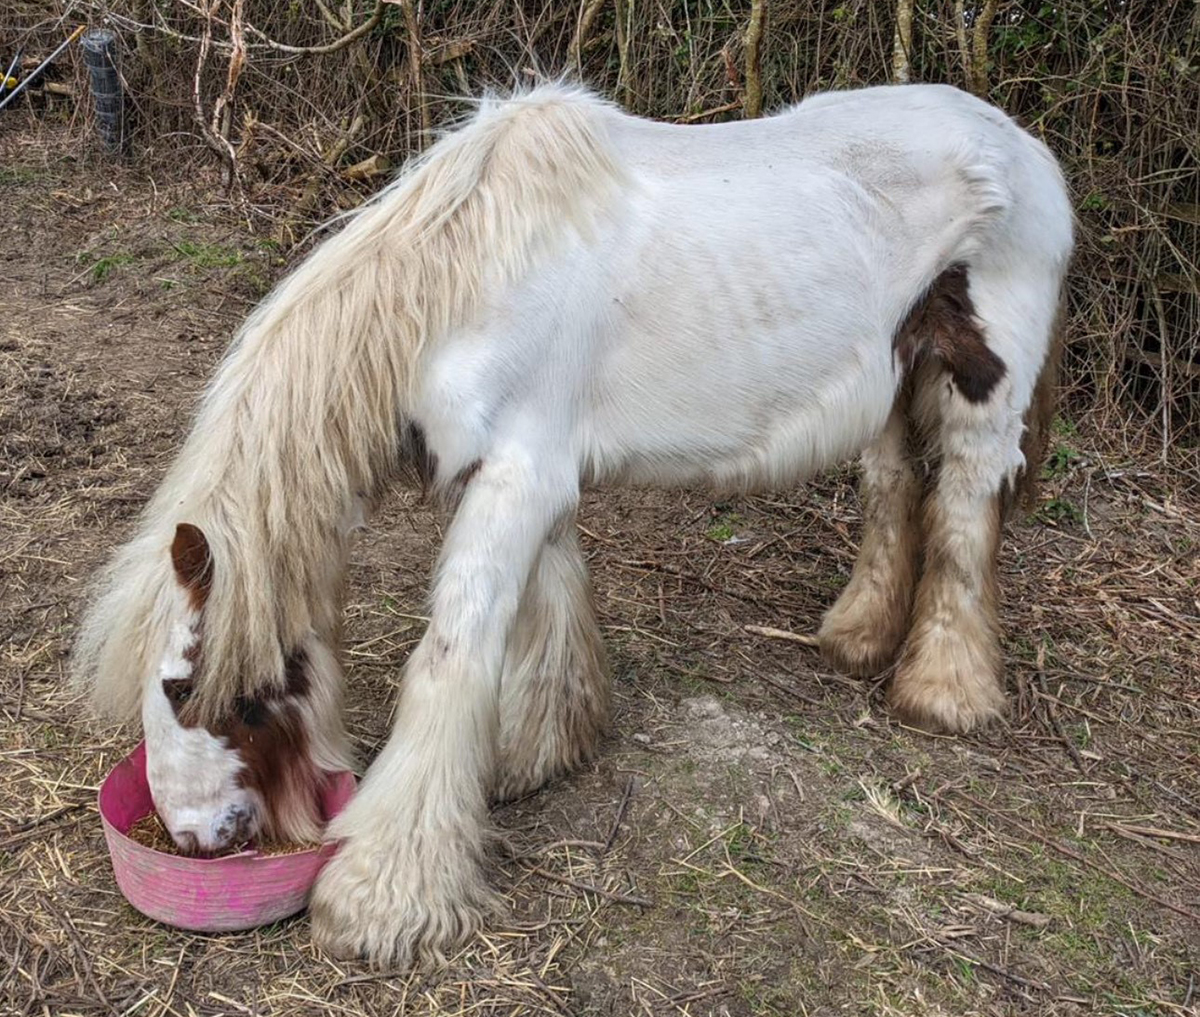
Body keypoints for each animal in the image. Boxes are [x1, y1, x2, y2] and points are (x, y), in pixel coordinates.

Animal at [72, 83, 1070, 964]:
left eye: (180, 688)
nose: (192, 836)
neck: (460, 283)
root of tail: (1027, 149)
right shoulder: (524, 477)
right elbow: (545, 610)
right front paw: (534, 753)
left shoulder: (521, 477)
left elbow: (452, 654)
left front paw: (383, 895)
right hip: (896, 382)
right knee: (896, 491)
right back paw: (859, 636)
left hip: (984, 386)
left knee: (963, 516)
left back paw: (943, 688)